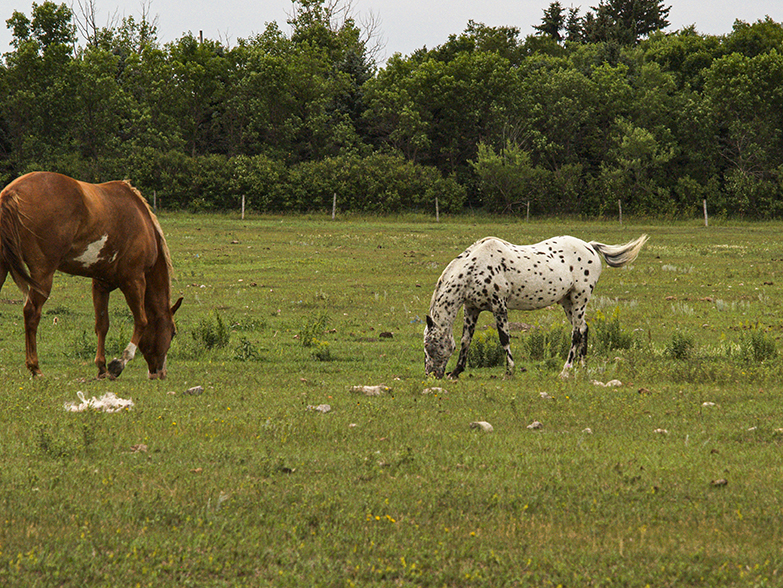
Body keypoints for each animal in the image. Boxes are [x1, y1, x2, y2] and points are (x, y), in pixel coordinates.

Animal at [0, 172, 182, 378]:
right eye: (173, 333)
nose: (160, 373)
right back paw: (35, 367)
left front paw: (101, 367)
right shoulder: (134, 280)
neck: (142, 221)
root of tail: (11, 192)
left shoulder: (101, 284)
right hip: (43, 274)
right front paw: (119, 363)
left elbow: (102, 324)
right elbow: (141, 321)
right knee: (32, 313)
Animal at [426, 235, 648, 382]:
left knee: (576, 333)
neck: (474, 268)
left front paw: (509, 371)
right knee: (584, 328)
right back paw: (582, 368)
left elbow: (504, 338)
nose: (431, 375)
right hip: (568, 302)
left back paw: (565, 370)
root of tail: (590, 246)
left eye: (432, 346)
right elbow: (466, 340)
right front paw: (456, 372)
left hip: (579, 299)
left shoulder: (499, 306)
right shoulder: (471, 308)